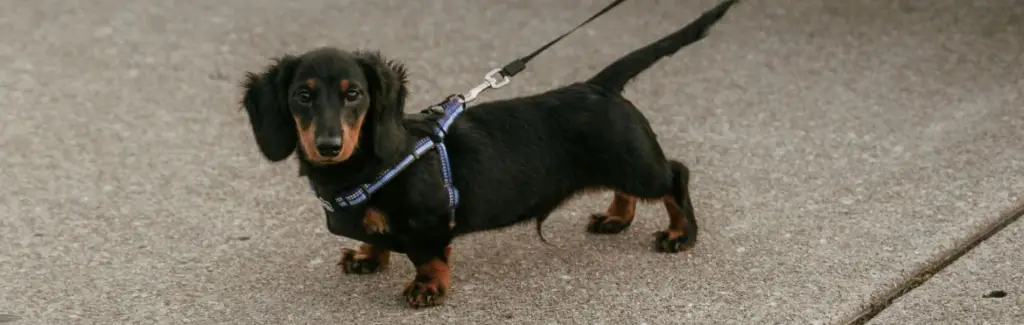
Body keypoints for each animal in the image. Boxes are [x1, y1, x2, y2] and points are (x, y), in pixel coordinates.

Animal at [237, 0, 737, 307]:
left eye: (354, 94)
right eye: (302, 96)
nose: (328, 146)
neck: (365, 166)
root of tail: (600, 85)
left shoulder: (430, 222)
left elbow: (428, 255)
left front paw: (427, 287)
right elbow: (376, 237)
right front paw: (368, 256)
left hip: (638, 165)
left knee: (676, 175)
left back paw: (680, 234)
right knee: (629, 189)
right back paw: (616, 217)